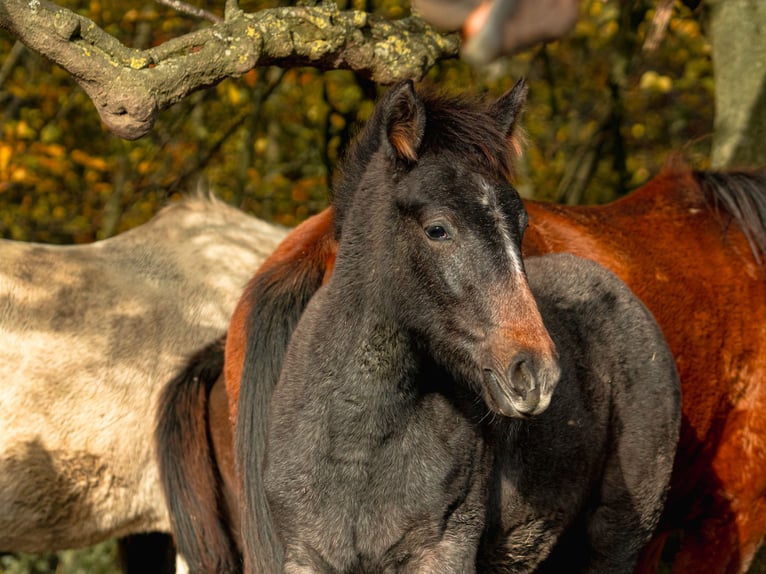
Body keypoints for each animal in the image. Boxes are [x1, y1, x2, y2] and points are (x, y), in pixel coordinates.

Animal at [156, 80, 682, 573]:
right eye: (437, 229)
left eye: (522, 225)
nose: (535, 374)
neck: (358, 438)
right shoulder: (306, 555)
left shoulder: (441, 552)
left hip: (618, 535)